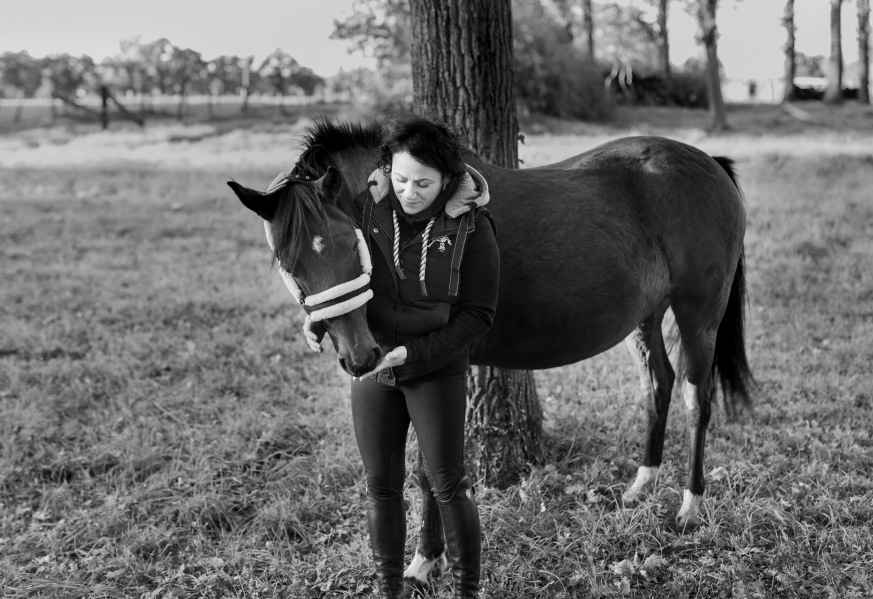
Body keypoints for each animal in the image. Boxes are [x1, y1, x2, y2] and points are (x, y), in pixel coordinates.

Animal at [228, 120, 752, 592]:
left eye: (347, 241)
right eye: (289, 261)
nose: (360, 358)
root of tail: (709, 163)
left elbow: (427, 471)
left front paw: (426, 560)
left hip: (698, 316)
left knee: (696, 399)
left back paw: (689, 506)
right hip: (646, 317)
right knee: (657, 385)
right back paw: (642, 485)